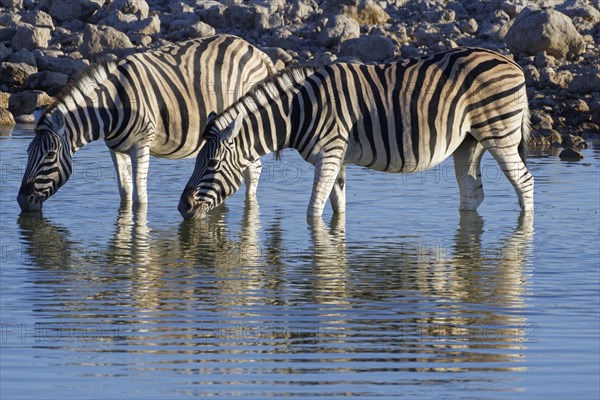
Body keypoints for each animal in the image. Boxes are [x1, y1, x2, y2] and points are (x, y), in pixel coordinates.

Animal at [16, 34, 274, 212]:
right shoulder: (116, 149)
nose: (21, 201)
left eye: (50, 155)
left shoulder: (141, 146)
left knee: (253, 171)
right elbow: (125, 193)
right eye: (27, 152)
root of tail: (257, 52)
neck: (110, 106)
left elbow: (140, 198)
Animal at [178, 48, 536, 222]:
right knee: (472, 193)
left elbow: (313, 211)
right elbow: (338, 207)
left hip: (499, 132)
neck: (298, 112)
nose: (182, 208)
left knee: (525, 182)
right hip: (469, 141)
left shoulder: (329, 153)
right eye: (195, 163)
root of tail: (510, 62)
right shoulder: (338, 159)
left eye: (212, 165)